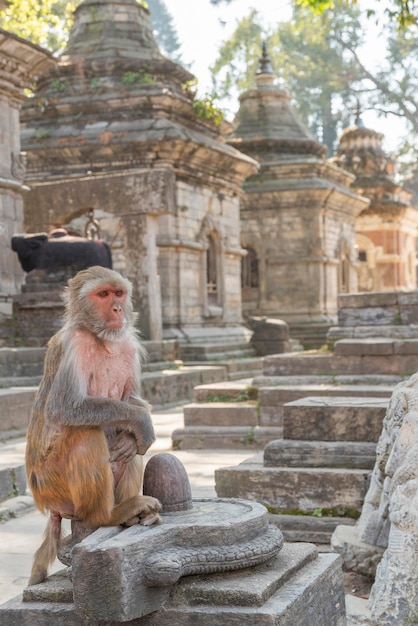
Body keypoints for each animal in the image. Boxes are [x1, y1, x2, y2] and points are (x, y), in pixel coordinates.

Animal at [24, 264, 162, 584]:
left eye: (119, 293)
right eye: (103, 294)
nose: (117, 308)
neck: (102, 340)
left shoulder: (128, 344)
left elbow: (132, 400)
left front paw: (136, 428)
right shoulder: (76, 343)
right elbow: (66, 408)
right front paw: (141, 421)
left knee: (131, 449)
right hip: (52, 485)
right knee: (85, 432)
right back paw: (107, 515)